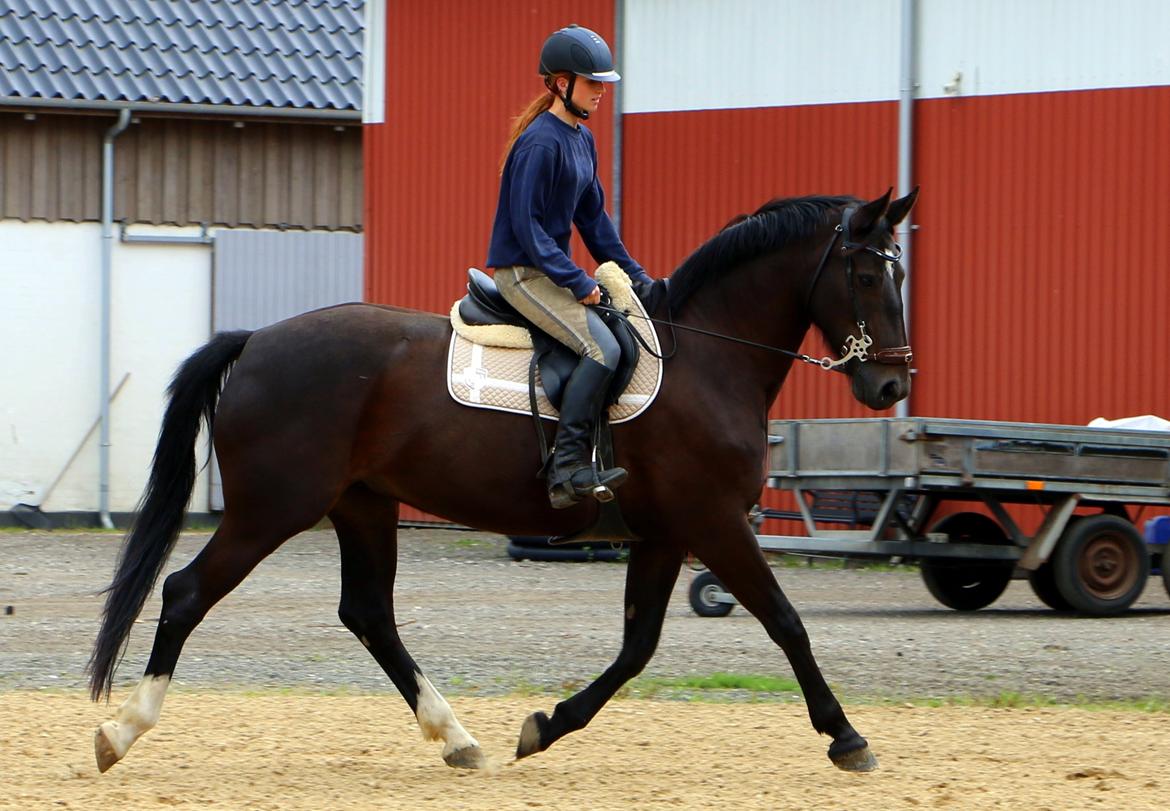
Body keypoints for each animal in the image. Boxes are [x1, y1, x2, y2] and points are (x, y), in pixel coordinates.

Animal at [86, 186, 917, 777]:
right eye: (866, 272)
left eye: (897, 272)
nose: (889, 386)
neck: (706, 358)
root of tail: (256, 339)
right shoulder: (713, 521)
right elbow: (785, 620)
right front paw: (846, 735)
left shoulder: (664, 533)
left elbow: (637, 645)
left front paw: (546, 725)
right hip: (275, 507)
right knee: (186, 592)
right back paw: (120, 731)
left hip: (363, 505)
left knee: (369, 613)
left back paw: (455, 736)